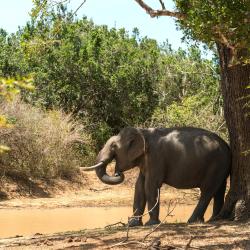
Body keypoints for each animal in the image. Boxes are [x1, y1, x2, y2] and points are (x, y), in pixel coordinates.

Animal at [82, 127, 230, 227]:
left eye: (113, 146)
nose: (117, 172)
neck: (142, 132)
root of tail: (227, 146)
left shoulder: (155, 157)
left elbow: (150, 185)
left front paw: (150, 224)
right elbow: (139, 187)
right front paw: (133, 224)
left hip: (215, 164)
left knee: (207, 191)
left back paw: (193, 221)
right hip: (221, 167)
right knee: (219, 190)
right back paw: (214, 219)